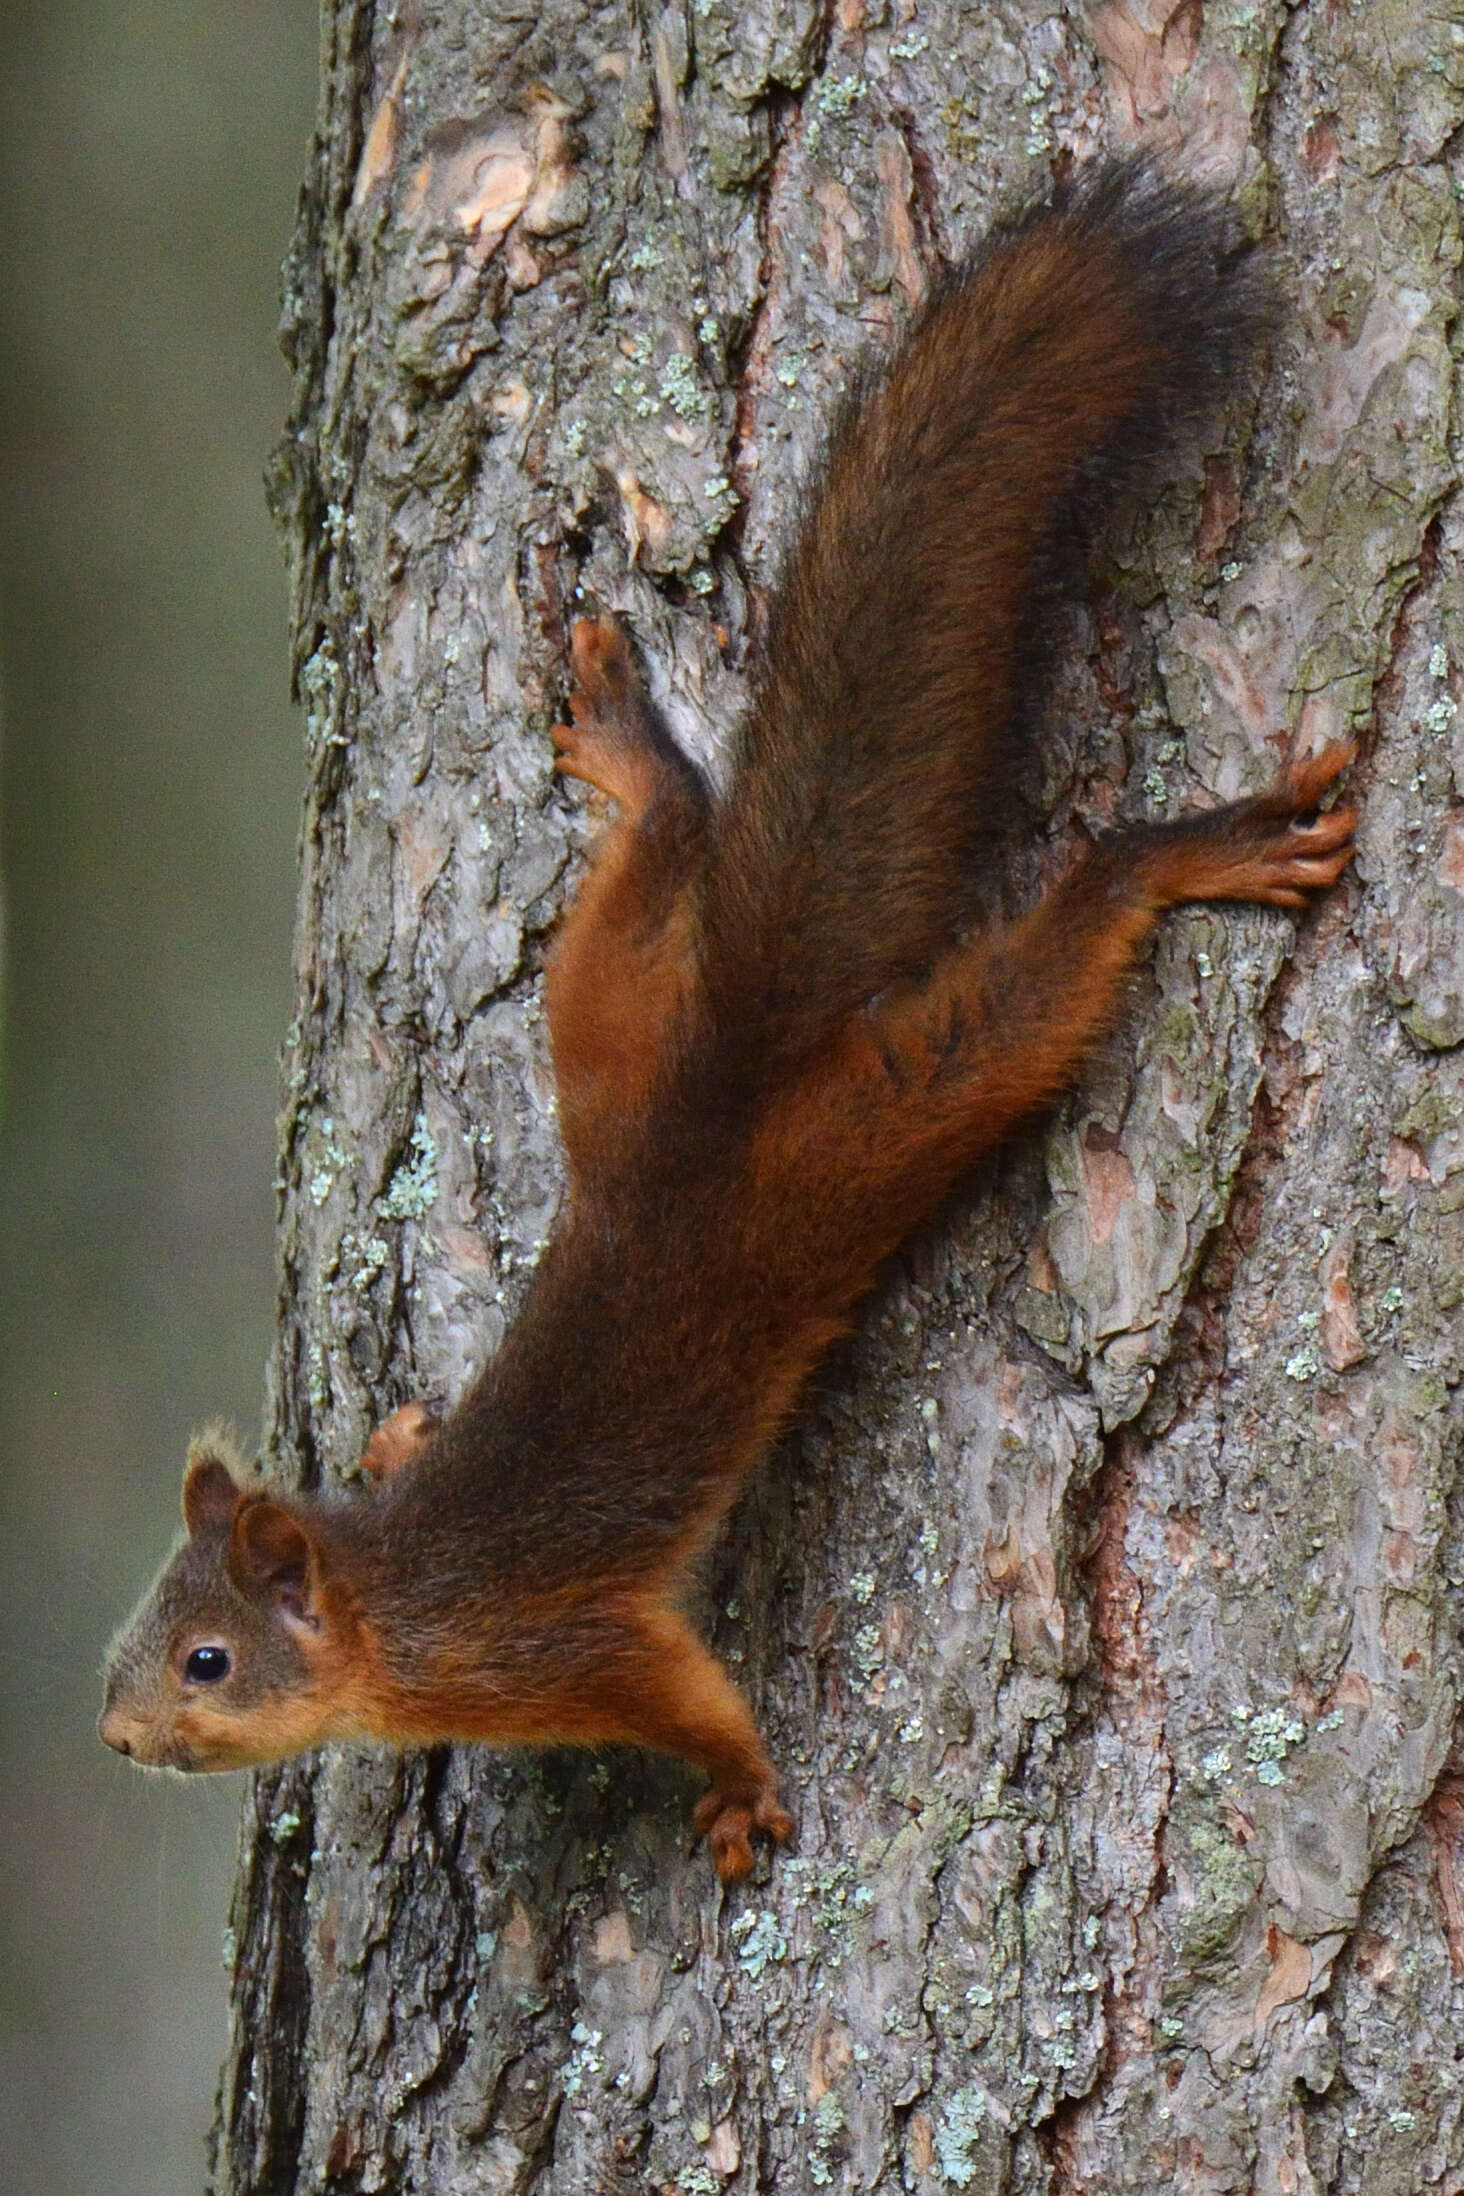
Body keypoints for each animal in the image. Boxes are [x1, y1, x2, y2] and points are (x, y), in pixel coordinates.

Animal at [100, 159, 1360, 1888]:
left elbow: (687, 1693)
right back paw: (638, 759)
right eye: (136, 1637)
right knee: (668, 859)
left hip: (879, 1117)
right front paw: (396, 1429)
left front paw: (745, 1794)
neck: (390, 1600)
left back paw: (1177, 856)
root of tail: (724, 1080)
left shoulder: (556, 1648)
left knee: (1045, 963)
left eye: (209, 1661)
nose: (116, 1734)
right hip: (608, 1048)